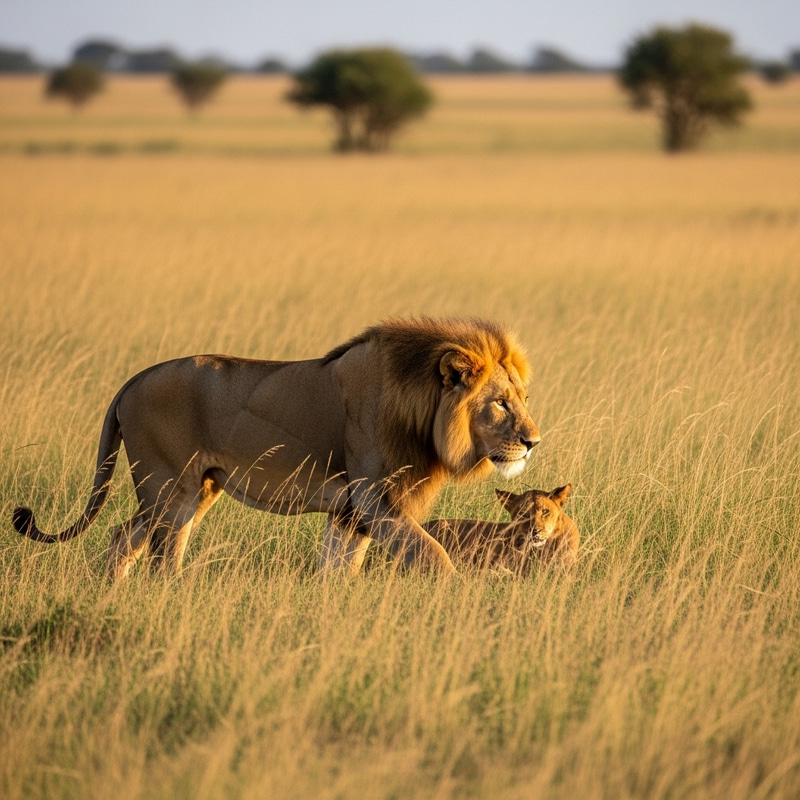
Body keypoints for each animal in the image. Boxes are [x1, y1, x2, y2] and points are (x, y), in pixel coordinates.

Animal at [12, 317, 540, 580]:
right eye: (499, 403)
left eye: (524, 399)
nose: (533, 441)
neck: (422, 410)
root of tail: (131, 381)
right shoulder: (376, 500)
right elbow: (435, 556)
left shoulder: (351, 511)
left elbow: (338, 568)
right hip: (170, 488)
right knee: (163, 556)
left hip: (190, 490)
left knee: (124, 538)